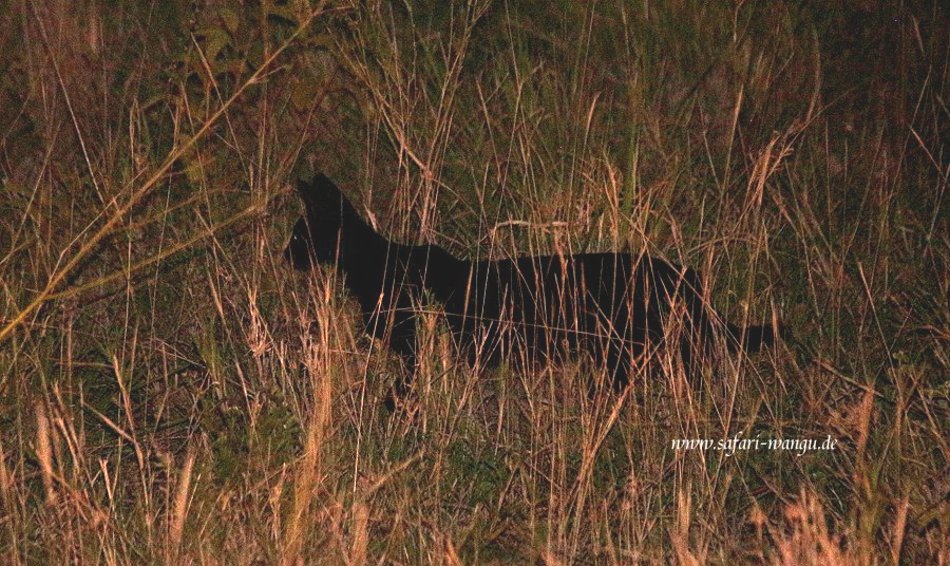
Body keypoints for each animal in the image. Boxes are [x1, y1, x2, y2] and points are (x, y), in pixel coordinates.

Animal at [286, 173, 784, 408]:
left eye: (296, 234)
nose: (283, 253)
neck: (371, 262)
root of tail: (681, 273)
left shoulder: (414, 346)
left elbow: (404, 385)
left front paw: (394, 409)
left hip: (632, 346)